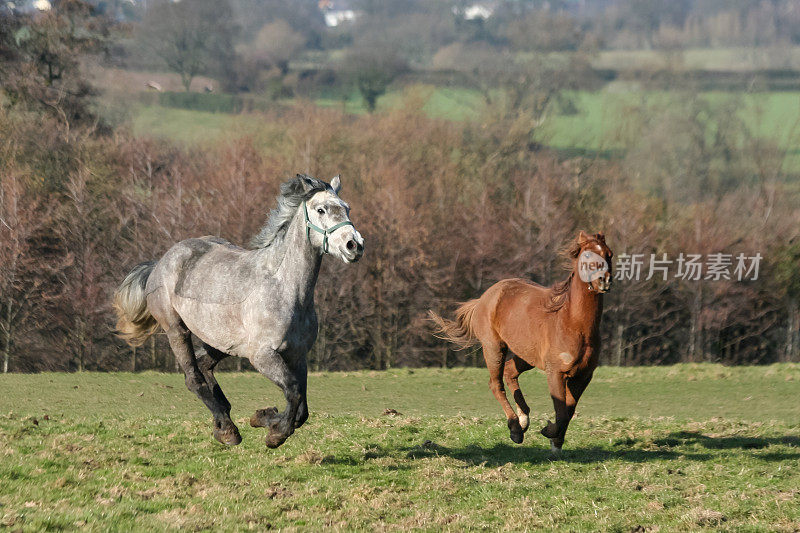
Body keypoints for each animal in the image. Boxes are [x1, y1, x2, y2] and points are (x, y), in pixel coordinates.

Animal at [112, 174, 362, 444]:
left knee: (204, 367)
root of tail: (161, 262)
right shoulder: (262, 355)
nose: (354, 245)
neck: (286, 289)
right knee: (193, 378)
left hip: (221, 342)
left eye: (347, 208)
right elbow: (294, 393)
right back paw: (227, 429)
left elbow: (301, 409)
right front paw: (274, 432)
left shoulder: (298, 355)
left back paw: (223, 420)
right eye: (321, 210)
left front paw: (266, 418)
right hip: (176, 330)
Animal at [432, 230, 612, 454]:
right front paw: (549, 432)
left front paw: (556, 441)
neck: (573, 323)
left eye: (609, 254)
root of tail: (486, 296)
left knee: (510, 372)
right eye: (587, 255)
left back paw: (523, 418)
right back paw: (515, 429)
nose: (604, 280)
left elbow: (569, 411)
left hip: (525, 355)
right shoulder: (555, 372)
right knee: (496, 384)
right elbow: (562, 411)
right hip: (494, 348)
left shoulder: (583, 375)